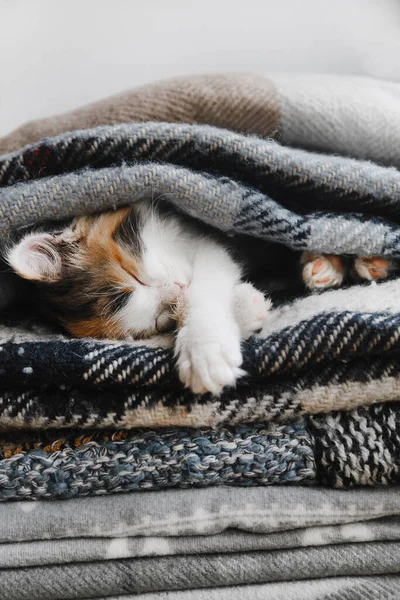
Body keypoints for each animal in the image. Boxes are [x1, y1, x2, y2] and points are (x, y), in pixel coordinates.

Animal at [7, 202, 272, 398]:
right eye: (159, 320)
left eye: (136, 277)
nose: (178, 290)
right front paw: (247, 309)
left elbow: (207, 278)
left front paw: (205, 348)